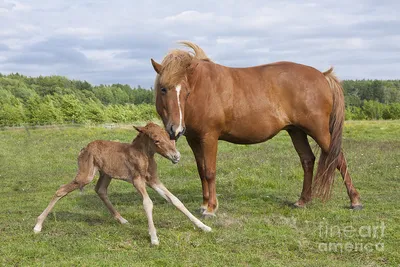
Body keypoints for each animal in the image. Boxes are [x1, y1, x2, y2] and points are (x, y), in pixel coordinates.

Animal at [33, 122, 212, 246]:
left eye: (170, 137)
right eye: (156, 140)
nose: (176, 157)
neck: (145, 155)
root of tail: (83, 148)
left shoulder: (154, 181)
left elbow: (175, 200)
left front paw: (203, 226)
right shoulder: (137, 180)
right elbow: (147, 203)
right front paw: (154, 238)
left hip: (106, 174)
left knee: (100, 190)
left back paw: (122, 220)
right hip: (86, 175)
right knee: (61, 190)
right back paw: (38, 225)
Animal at [150, 41, 362, 218]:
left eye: (186, 92)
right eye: (163, 89)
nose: (175, 129)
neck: (202, 87)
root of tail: (323, 76)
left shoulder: (209, 137)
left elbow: (210, 171)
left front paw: (210, 208)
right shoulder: (194, 139)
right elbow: (201, 171)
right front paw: (204, 205)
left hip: (319, 131)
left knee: (338, 158)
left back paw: (355, 201)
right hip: (296, 131)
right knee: (308, 160)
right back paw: (302, 201)